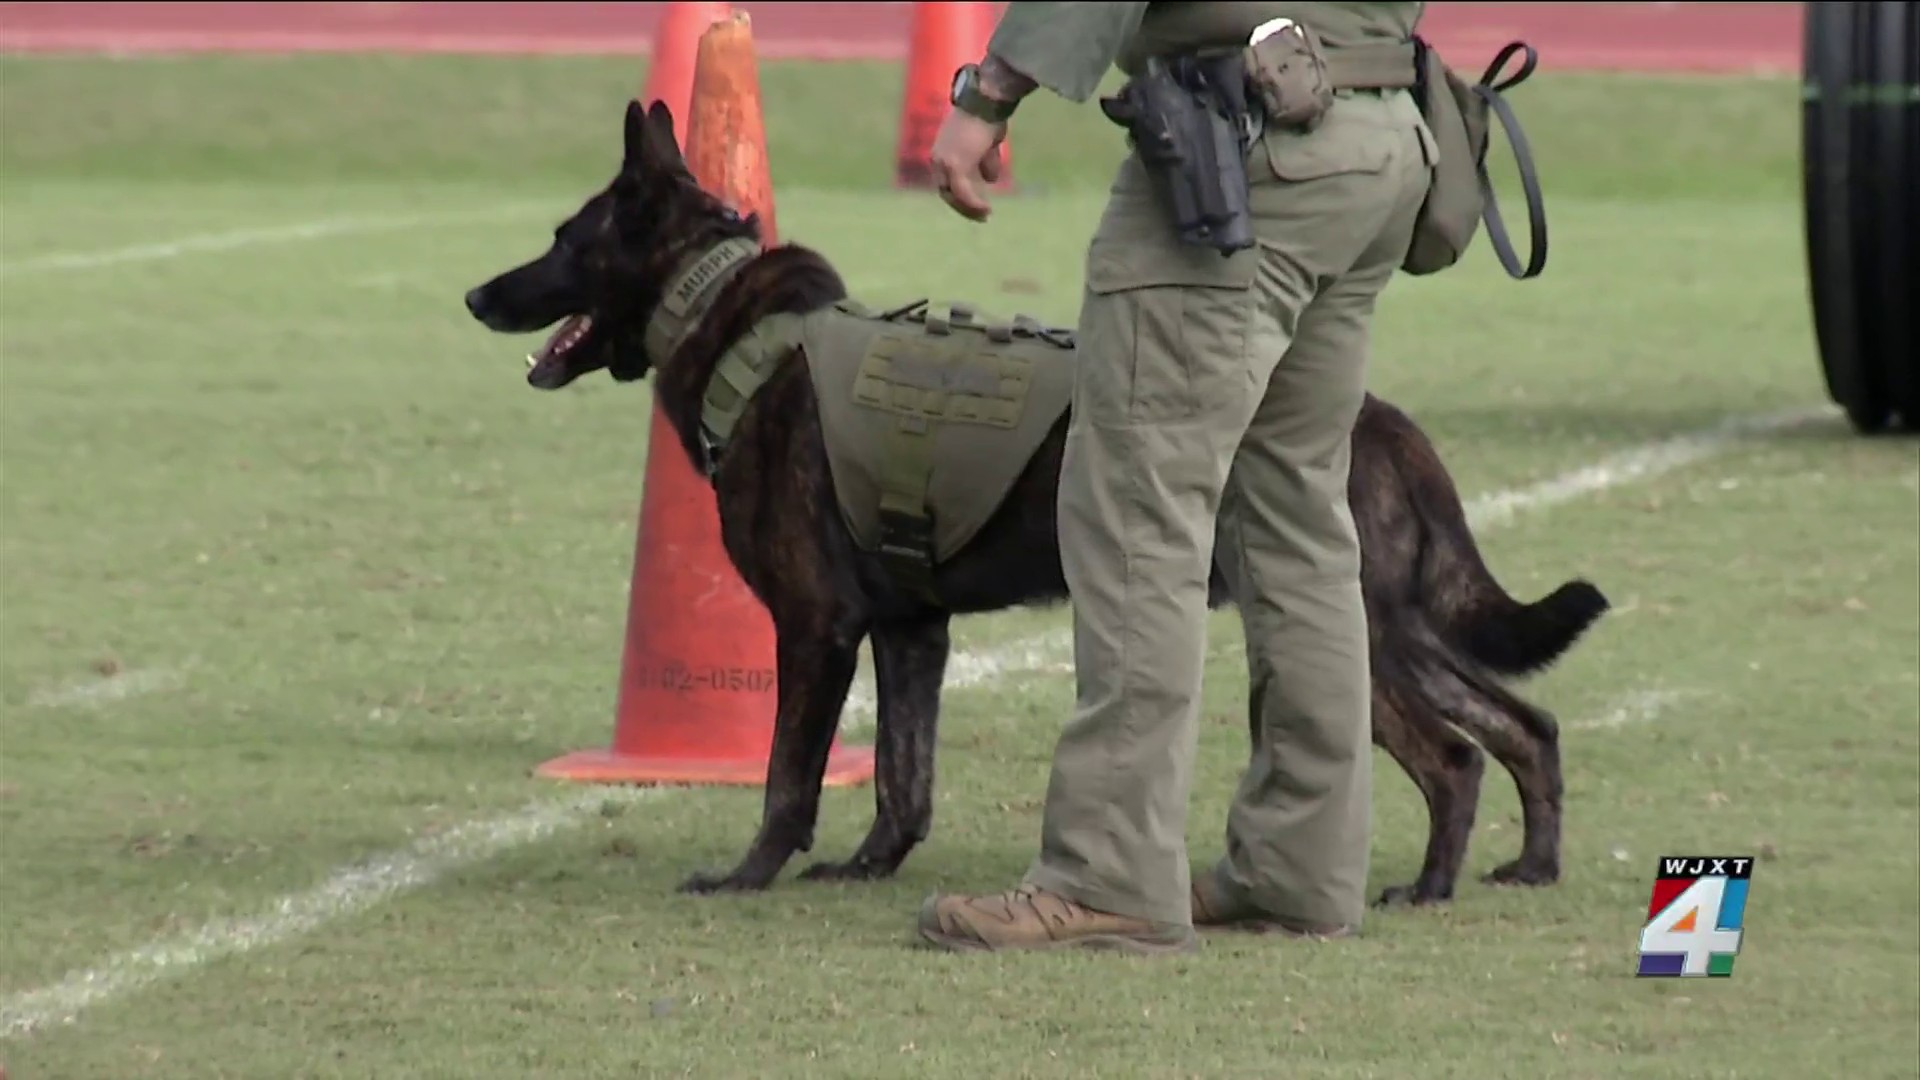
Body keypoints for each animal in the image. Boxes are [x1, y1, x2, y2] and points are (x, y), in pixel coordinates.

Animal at [460, 100, 1605, 903]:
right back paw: (1530, 866)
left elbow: (789, 778)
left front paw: (747, 877)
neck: (734, 323)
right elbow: (903, 781)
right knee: (1527, 725)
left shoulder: (817, 630)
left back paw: (1427, 886)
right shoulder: (911, 632)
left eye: (565, 239)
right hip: (1394, 625)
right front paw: (867, 870)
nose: (474, 294)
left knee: (1454, 756)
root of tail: (1387, 424)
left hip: (1346, 628)